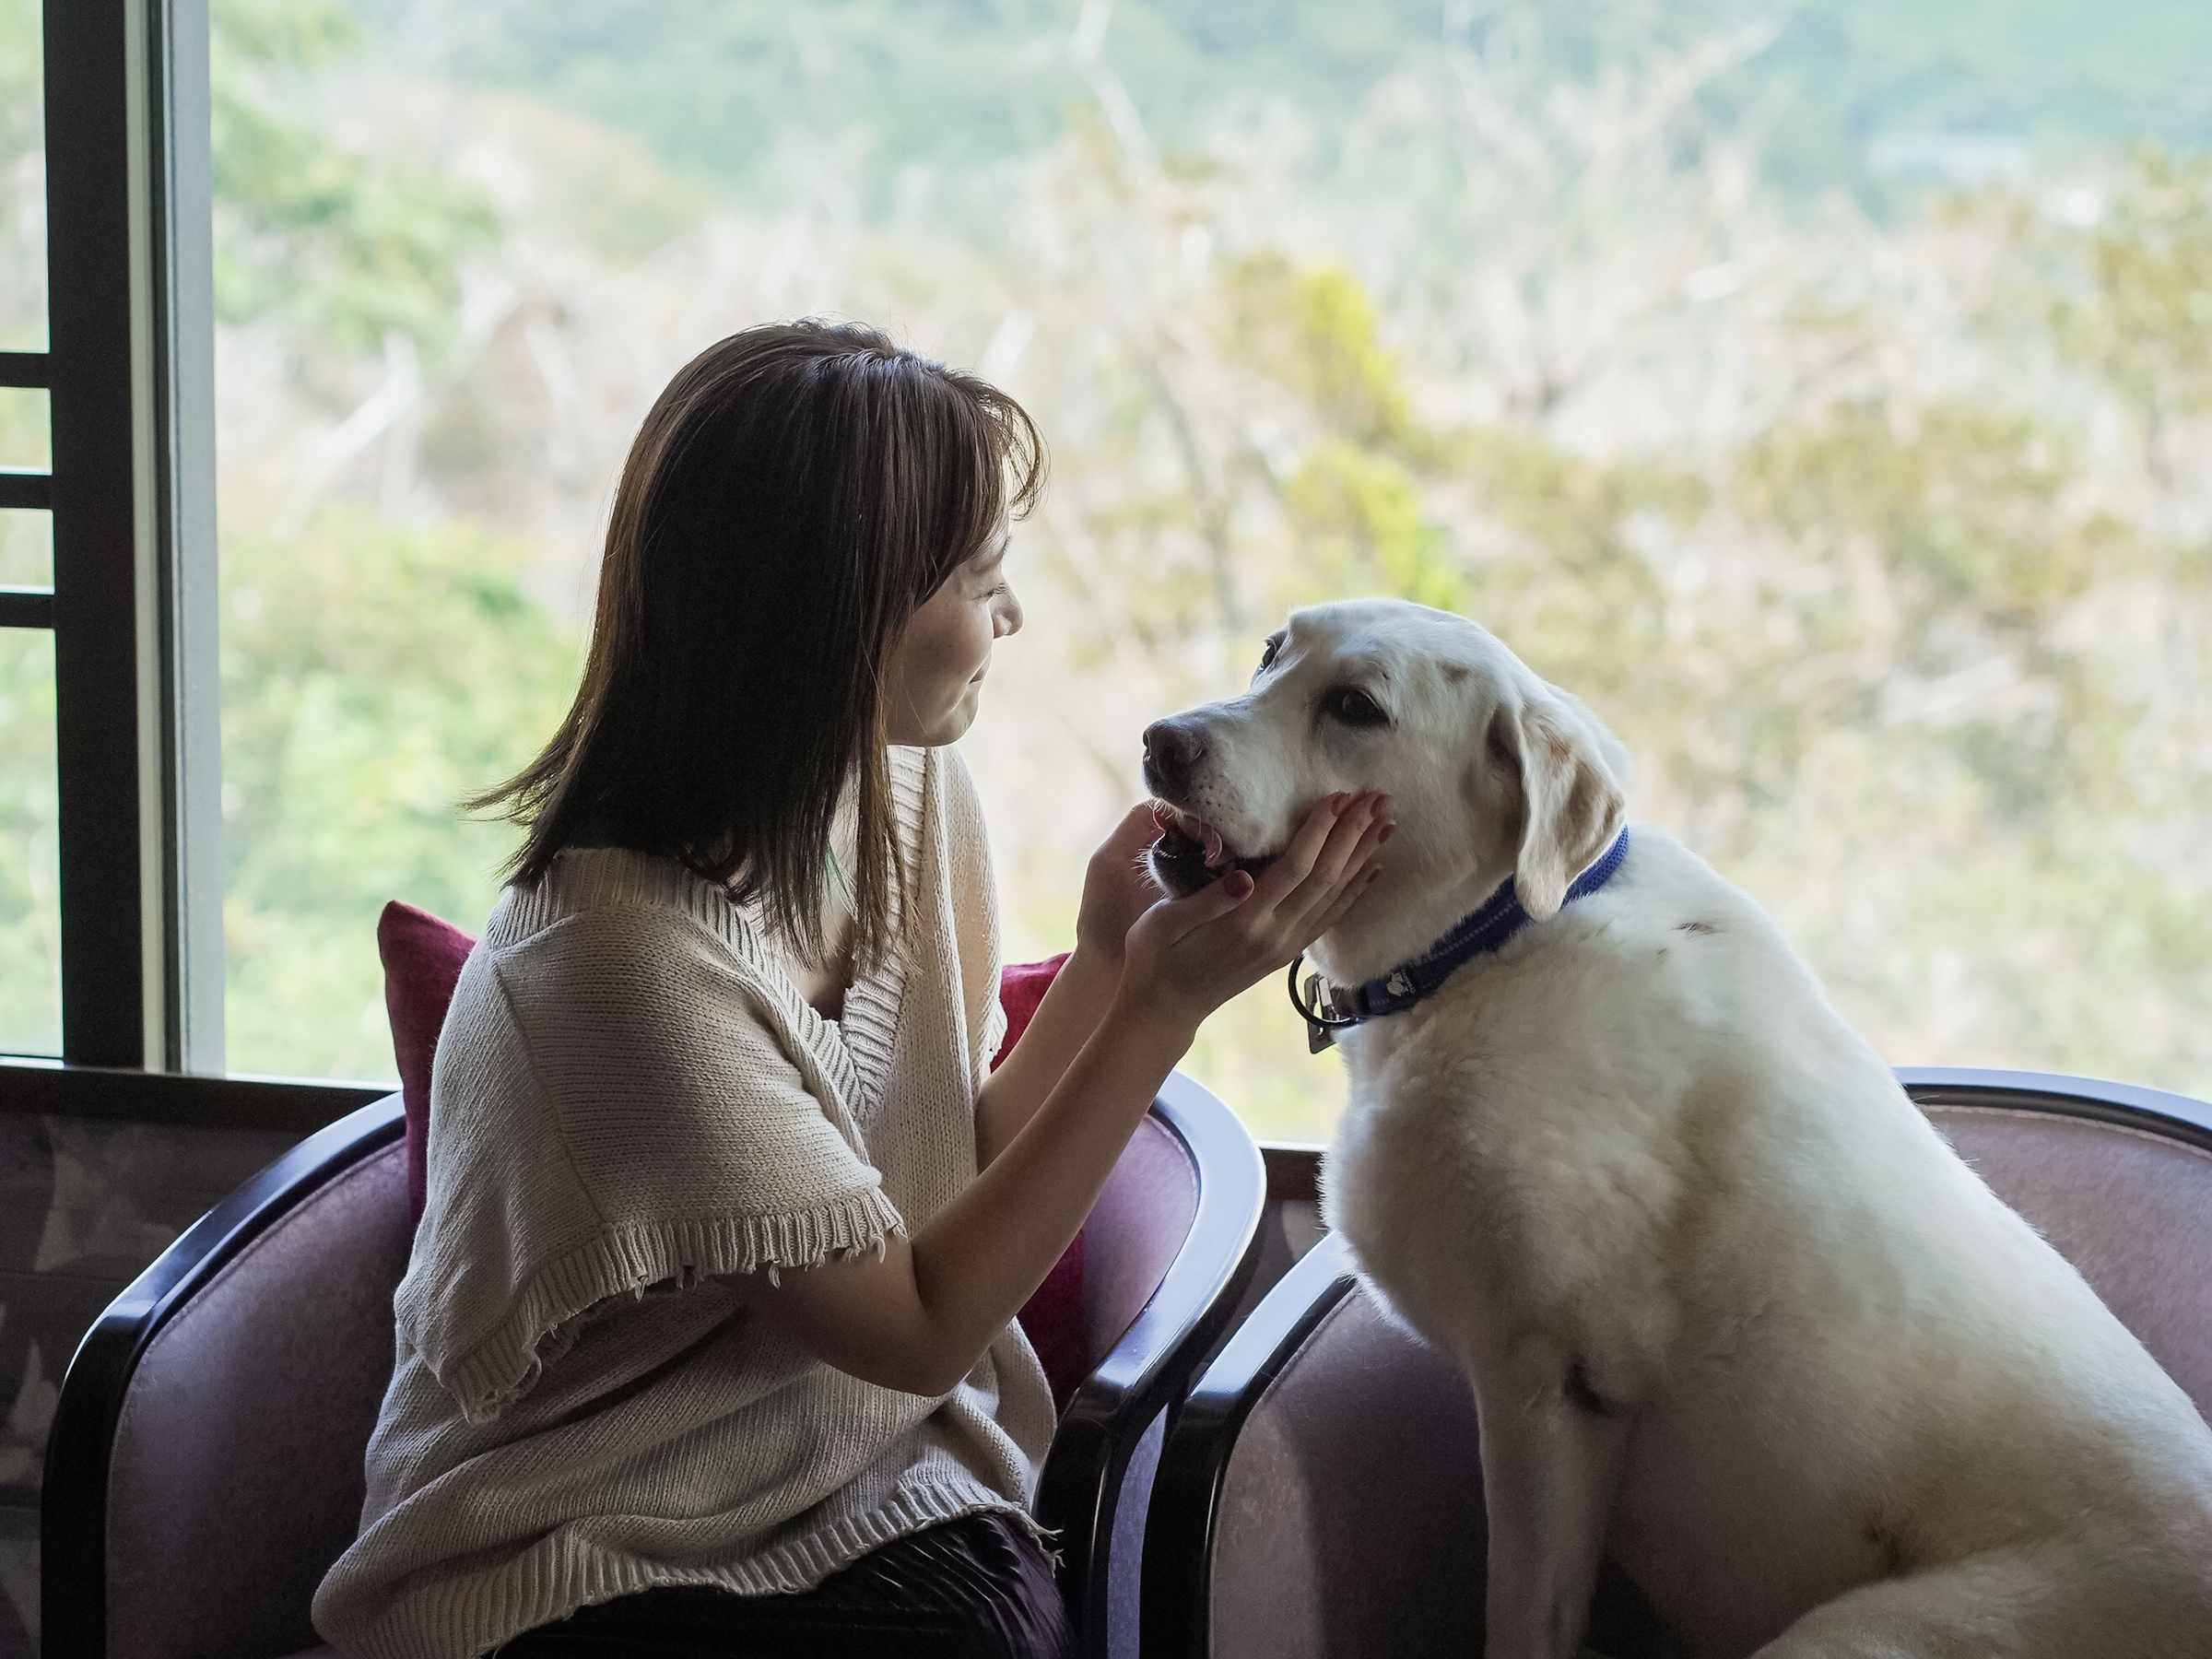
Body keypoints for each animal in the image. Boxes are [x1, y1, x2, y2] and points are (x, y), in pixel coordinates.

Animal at [1141, 601, 2212, 1659]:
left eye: (1357, 707)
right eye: (1271, 655)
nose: (1161, 740)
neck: (1493, 938)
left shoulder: (1549, 1386)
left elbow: (1525, 1615)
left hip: (1859, 1635)